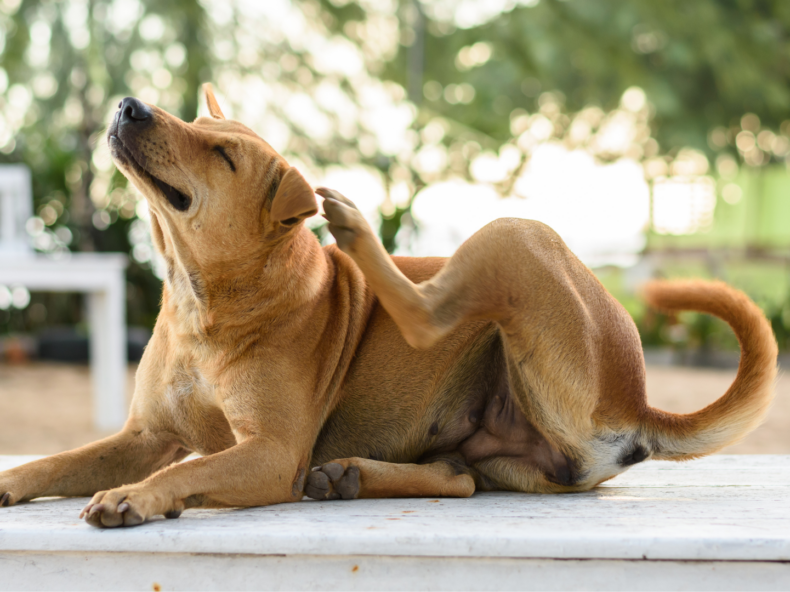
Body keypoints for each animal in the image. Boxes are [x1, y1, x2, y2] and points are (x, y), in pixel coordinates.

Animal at [0, 85, 780, 524]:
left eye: (222, 155)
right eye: (191, 121)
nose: (129, 105)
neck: (205, 302)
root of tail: (638, 400)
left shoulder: (270, 454)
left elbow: (184, 471)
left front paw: (137, 497)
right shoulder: (141, 437)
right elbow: (55, 463)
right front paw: (12, 482)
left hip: (515, 235)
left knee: (429, 315)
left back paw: (354, 228)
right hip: (501, 450)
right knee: (459, 479)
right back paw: (354, 475)